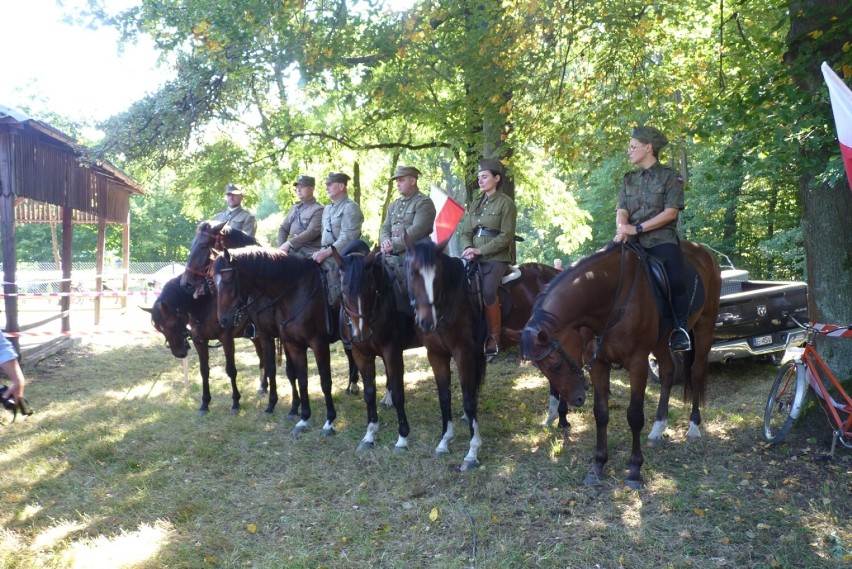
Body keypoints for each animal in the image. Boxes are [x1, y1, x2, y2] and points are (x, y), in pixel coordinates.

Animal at [145, 276, 266, 412]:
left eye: (172, 325)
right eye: (159, 329)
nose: (178, 353)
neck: (204, 304)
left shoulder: (227, 339)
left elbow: (231, 370)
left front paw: (235, 402)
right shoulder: (200, 341)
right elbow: (204, 371)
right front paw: (205, 403)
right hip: (255, 338)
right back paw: (263, 387)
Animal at [215, 246, 352, 432]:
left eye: (228, 280)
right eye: (213, 282)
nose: (223, 320)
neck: (295, 292)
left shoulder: (319, 344)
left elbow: (325, 381)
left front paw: (329, 420)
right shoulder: (289, 343)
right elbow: (299, 378)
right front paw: (302, 417)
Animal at [404, 235, 490, 470]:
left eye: (438, 275)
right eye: (413, 272)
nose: (426, 322)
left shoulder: (464, 354)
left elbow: (468, 399)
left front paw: (472, 450)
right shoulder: (436, 355)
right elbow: (444, 397)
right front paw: (444, 440)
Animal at [520, 240, 720, 488]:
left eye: (556, 365)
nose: (577, 399)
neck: (609, 299)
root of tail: (705, 254)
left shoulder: (638, 364)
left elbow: (634, 416)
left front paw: (634, 470)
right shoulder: (598, 364)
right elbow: (600, 413)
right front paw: (598, 465)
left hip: (705, 328)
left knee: (697, 372)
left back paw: (693, 427)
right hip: (662, 342)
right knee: (667, 373)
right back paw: (658, 427)